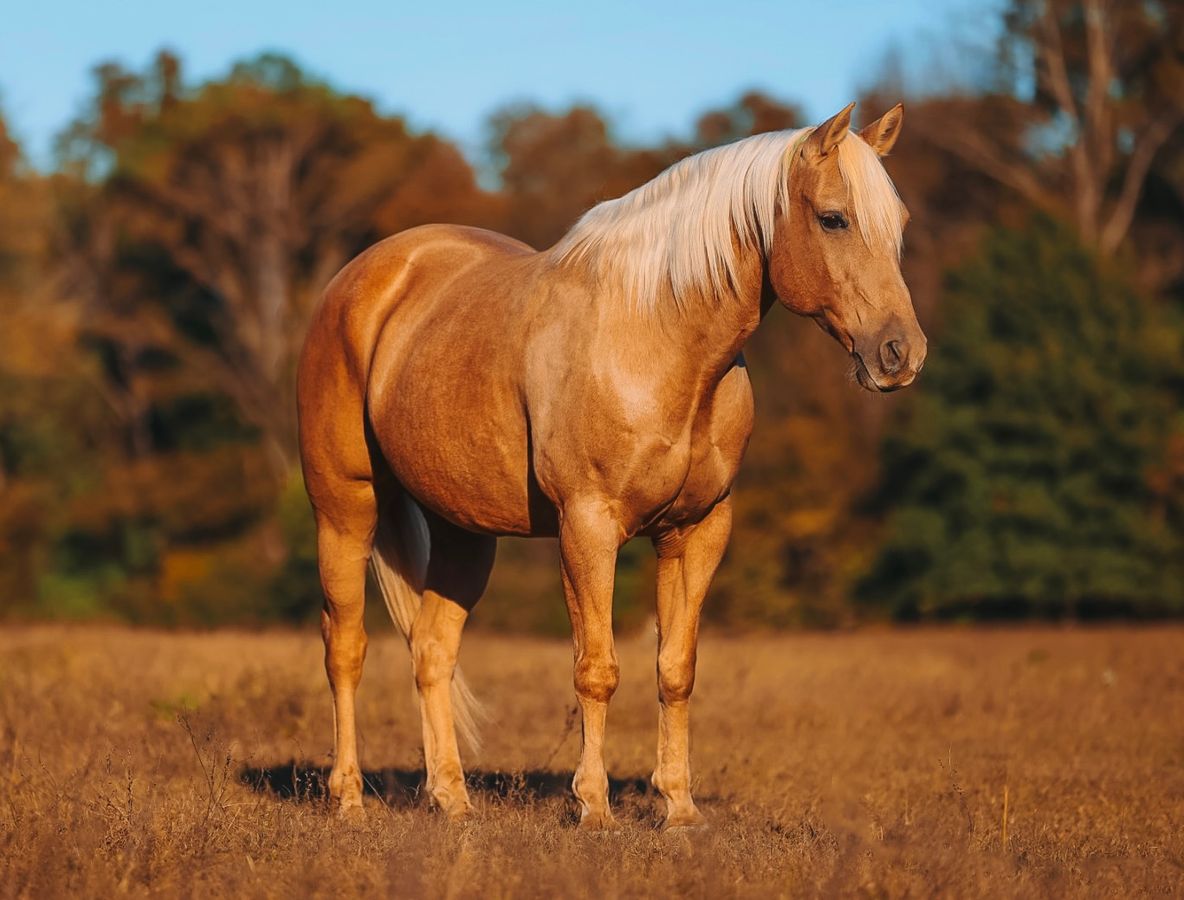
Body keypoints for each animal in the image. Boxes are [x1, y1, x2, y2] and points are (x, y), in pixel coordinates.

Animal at [296, 101, 925, 831]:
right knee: (345, 647)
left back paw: (452, 799)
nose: (901, 353)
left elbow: (676, 668)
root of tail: (363, 277)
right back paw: (348, 798)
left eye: (899, 222)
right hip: (345, 508)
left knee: (432, 652)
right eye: (832, 218)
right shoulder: (588, 528)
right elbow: (596, 669)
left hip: (464, 532)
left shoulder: (696, 532)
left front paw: (678, 807)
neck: (658, 336)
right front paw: (593, 806)